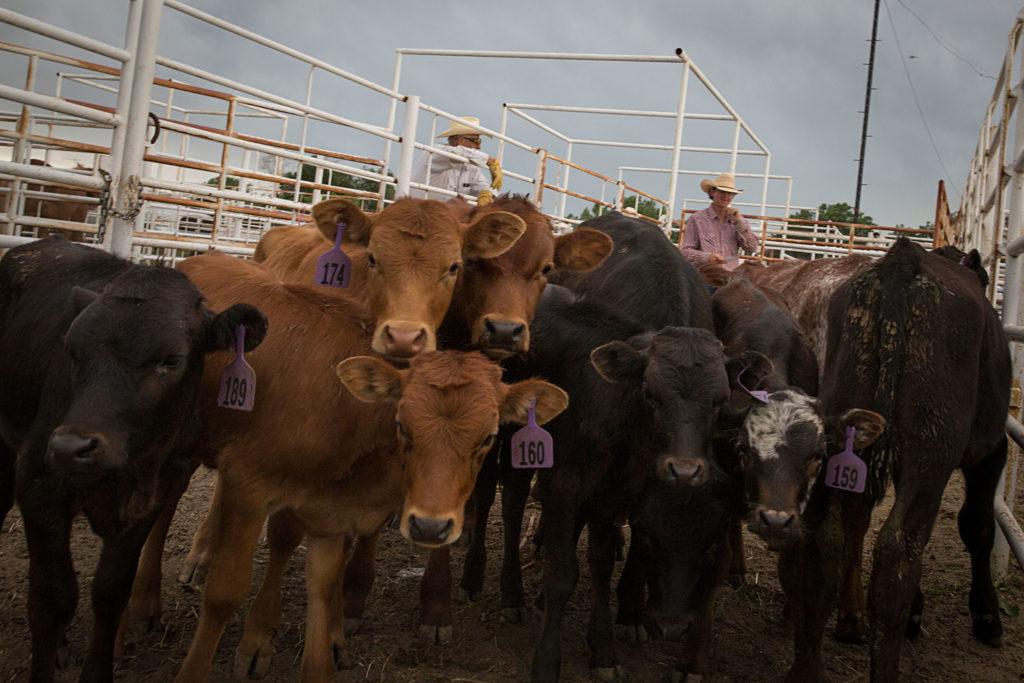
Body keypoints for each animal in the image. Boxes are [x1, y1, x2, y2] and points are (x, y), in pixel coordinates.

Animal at [0, 237, 268, 679]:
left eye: (171, 360)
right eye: (72, 351)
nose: (71, 448)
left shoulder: (147, 499)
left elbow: (110, 592)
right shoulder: (38, 485)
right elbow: (52, 599)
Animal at [169, 253, 569, 679]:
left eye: (489, 437)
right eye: (401, 425)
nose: (430, 526)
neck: (342, 411)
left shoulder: (327, 513)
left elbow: (323, 589)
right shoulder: (249, 485)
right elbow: (225, 592)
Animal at [782, 237, 1007, 679]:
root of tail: (902, 265)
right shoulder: (992, 450)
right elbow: (979, 526)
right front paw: (987, 616)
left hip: (842, 430)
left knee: (827, 541)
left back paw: (807, 669)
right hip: (930, 456)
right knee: (898, 553)